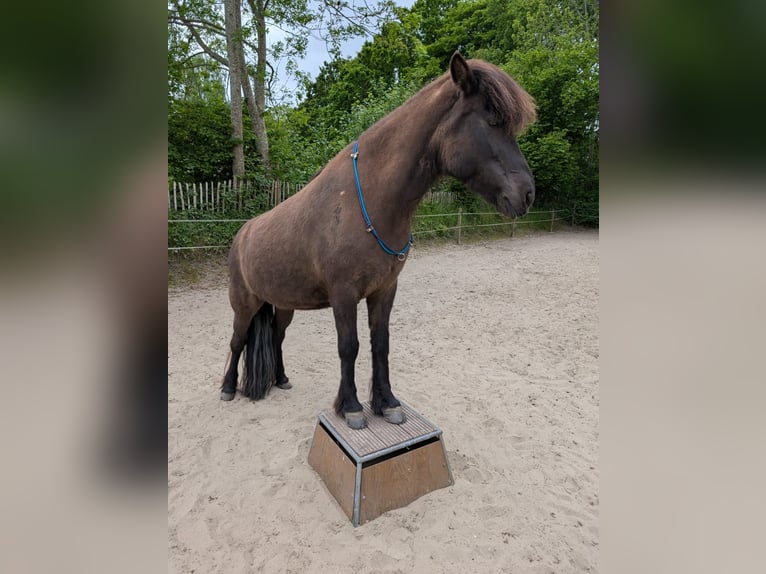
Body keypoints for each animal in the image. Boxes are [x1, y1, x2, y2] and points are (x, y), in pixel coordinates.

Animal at [221, 52, 537, 429]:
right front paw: (352, 407)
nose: (528, 194)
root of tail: (242, 235)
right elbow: (349, 347)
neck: (367, 201)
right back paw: (227, 388)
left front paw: (387, 403)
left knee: (277, 338)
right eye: (491, 121)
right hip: (244, 304)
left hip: (283, 305)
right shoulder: (344, 295)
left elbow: (380, 344)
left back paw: (281, 379)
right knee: (237, 341)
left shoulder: (384, 290)